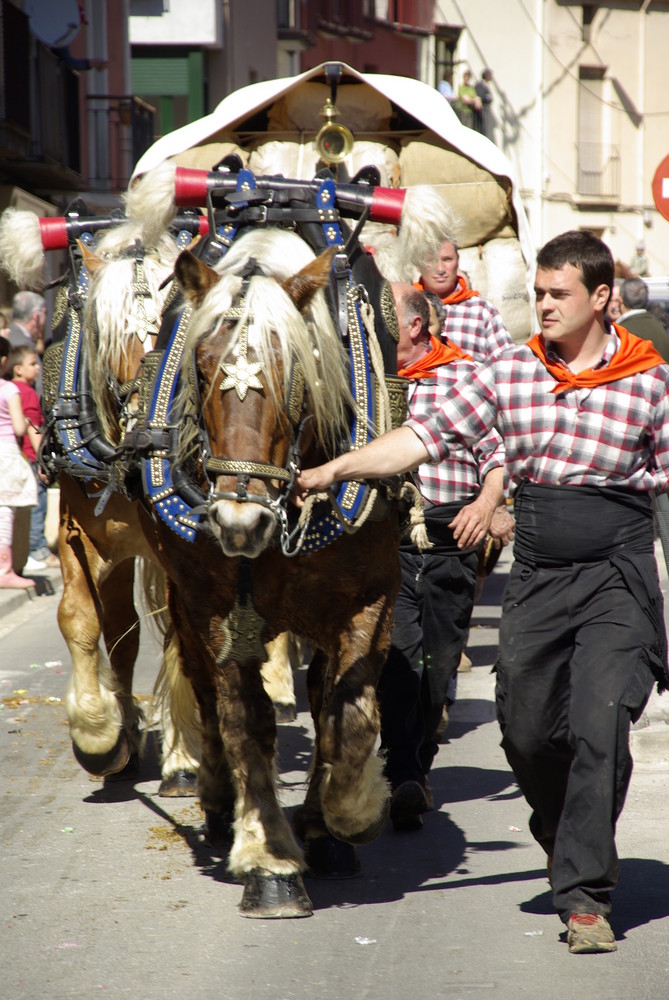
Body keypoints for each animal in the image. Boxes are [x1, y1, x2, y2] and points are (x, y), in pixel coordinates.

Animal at [129, 227, 402, 916]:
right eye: (202, 367)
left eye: (293, 370)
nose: (238, 521)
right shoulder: (216, 605)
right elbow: (243, 720)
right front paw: (270, 857)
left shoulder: (370, 594)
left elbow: (348, 718)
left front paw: (346, 815)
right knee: (204, 693)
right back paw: (220, 805)